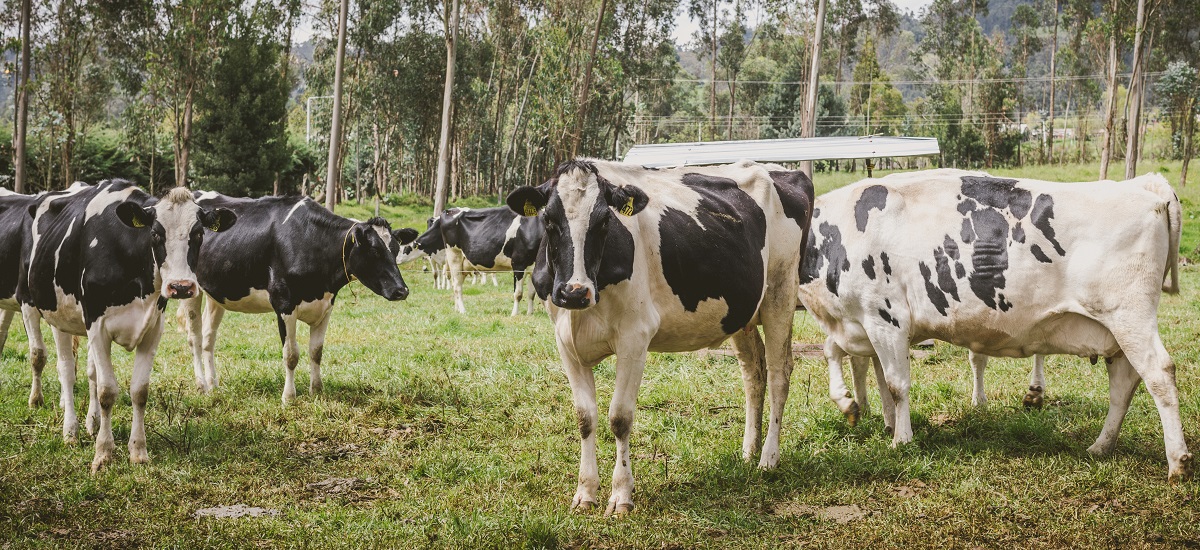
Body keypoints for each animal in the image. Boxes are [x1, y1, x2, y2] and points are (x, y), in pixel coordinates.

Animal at [19, 181, 236, 471]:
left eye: (199, 234)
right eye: (155, 234)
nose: (180, 287)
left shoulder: (153, 328)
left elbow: (139, 391)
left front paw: (138, 450)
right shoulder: (97, 325)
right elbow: (107, 391)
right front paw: (103, 454)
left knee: (90, 372)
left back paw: (92, 422)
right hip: (43, 308)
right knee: (61, 367)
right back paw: (68, 428)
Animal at [178, 193, 417, 404]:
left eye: (395, 249)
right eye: (375, 251)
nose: (402, 290)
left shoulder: (326, 305)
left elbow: (316, 352)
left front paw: (317, 390)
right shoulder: (283, 303)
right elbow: (291, 355)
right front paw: (289, 397)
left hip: (215, 294)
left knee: (208, 338)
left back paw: (213, 384)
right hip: (190, 289)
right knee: (195, 338)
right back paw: (201, 385)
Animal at [398, 206, 543, 316]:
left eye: (405, 248)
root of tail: (449, 210)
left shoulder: (532, 267)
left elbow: (531, 293)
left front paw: (530, 313)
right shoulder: (518, 263)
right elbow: (518, 293)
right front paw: (514, 314)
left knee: (456, 285)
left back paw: (457, 308)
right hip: (454, 256)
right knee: (457, 286)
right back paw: (462, 310)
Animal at [506, 159, 813, 515]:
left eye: (605, 220)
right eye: (548, 220)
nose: (574, 292)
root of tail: (783, 170)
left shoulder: (635, 337)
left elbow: (619, 417)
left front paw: (621, 496)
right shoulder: (565, 342)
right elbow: (585, 417)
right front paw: (585, 493)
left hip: (781, 293)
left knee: (779, 374)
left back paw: (768, 458)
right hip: (741, 312)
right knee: (754, 372)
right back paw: (749, 451)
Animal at [798, 169, 1192, 482]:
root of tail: (1143, 185)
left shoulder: (886, 316)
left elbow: (896, 385)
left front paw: (901, 439)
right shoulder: (861, 324)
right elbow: (853, 364)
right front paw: (856, 408)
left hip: (1128, 316)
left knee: (1159, 374)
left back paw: (1177, 462)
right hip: (1115, 332)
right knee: (1123, 384)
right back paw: (1101, 446)